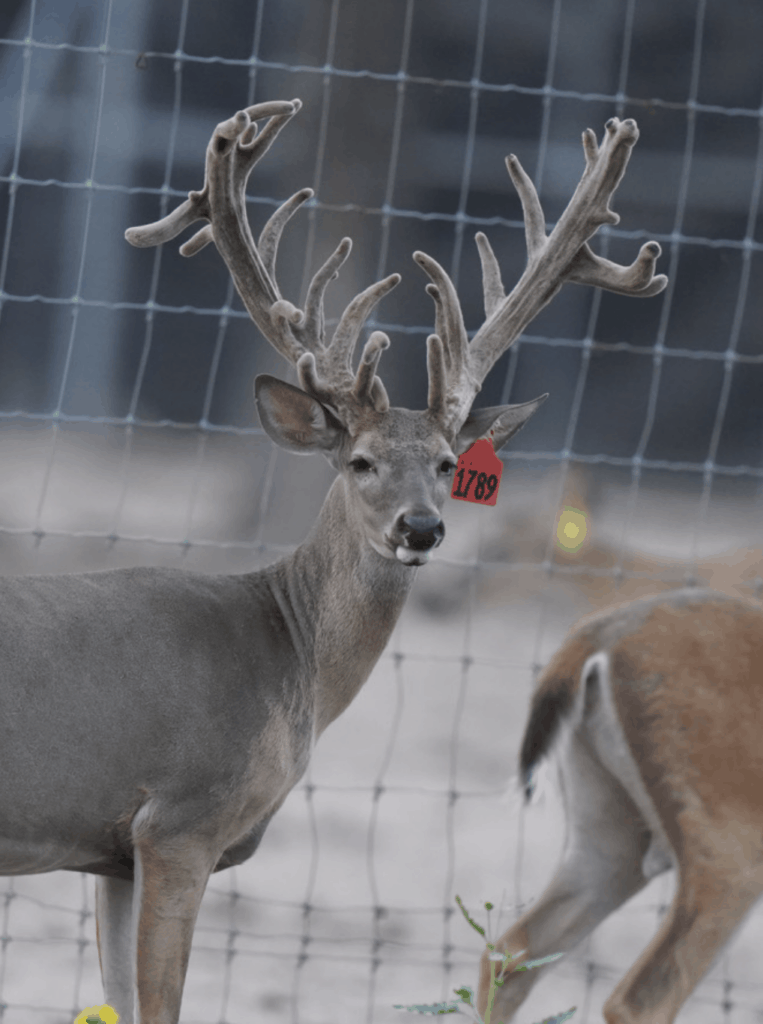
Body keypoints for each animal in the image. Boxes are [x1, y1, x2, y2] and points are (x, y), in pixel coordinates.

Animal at [0, 99, 666, 1023]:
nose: (421, 529)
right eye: (358, 461)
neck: (289, 658)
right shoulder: (180, 819)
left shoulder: (112, 851)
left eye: (449, 465)